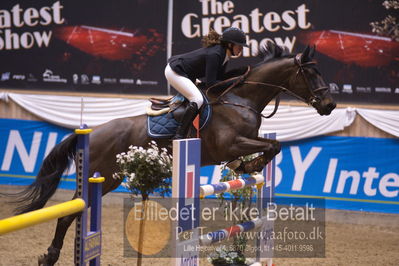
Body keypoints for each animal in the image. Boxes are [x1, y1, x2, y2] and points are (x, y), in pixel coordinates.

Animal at [10, 41, 336, 264]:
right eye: (311, 73)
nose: (330, 105)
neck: (240, 98)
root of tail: (92, 134)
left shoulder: (244, 139)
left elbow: (271, 145)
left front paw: (245, 167)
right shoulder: (229, 144)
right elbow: (271, 146)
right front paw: (251, 165)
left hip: (109, 179)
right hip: (100, 176)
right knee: (69, 213)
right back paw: (50, 255)